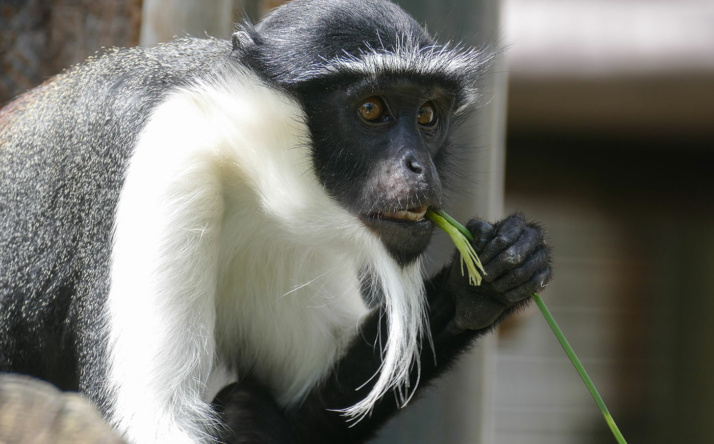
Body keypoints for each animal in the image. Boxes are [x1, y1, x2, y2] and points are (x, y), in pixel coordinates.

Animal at [0, 0, 552, 444]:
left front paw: (491, 275)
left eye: (428, 115)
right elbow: (154, 421)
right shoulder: (159, 156)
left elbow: (302, 402)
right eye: (372, 109)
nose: (421, 166)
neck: (228, 139)